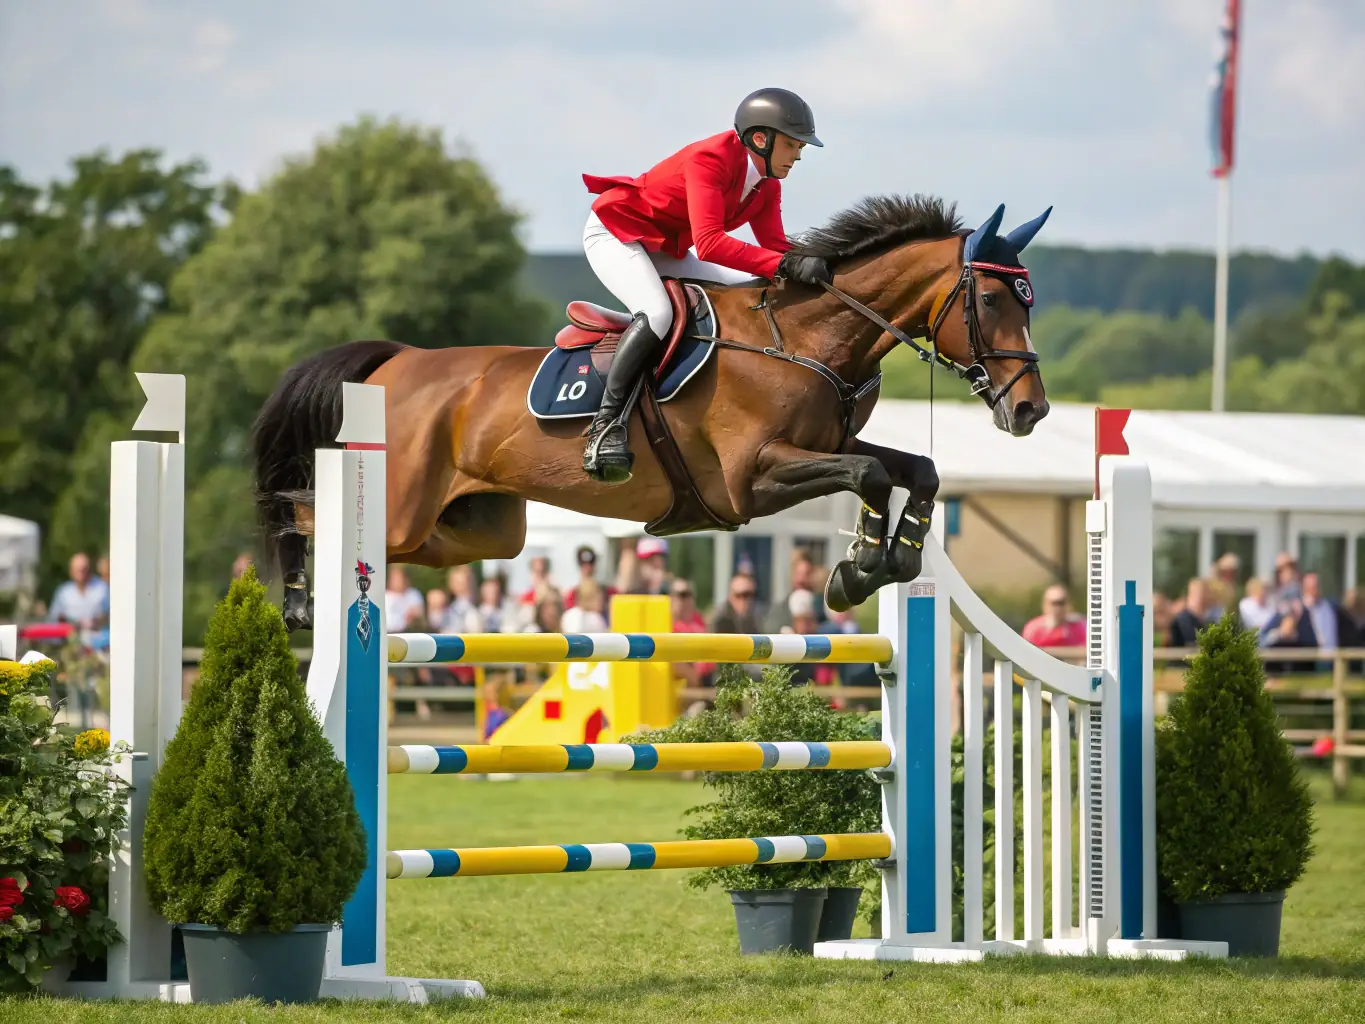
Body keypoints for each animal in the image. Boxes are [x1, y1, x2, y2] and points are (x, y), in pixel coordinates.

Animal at [250, 196, 1053, 631]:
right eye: (989, 300)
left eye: (1028, 299)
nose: (1031, 410)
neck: (802, 338)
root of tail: (396, 361)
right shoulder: (752, 479)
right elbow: (867, 474)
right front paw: (856, 571)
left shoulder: (823, 447)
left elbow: (916, 469)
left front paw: (899, 557)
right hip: (398, 509)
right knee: (304, 512)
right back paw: (297, 606)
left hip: (472, 532)